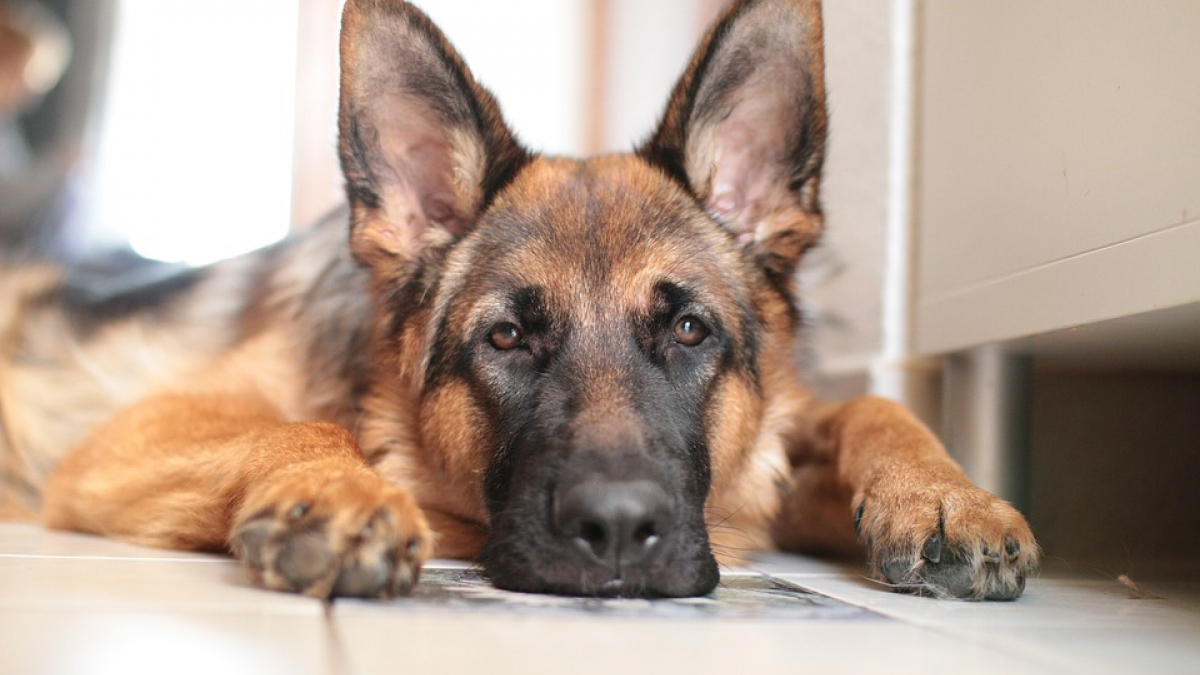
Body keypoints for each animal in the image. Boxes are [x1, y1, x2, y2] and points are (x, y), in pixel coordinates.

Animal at [0, 0, 1036, 598]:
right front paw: (340, 485)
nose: (615, 531)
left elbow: (869, 404)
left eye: (688, 328)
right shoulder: (125, 440)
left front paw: (946, 494)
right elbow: (302, 425)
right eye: (505, 337)